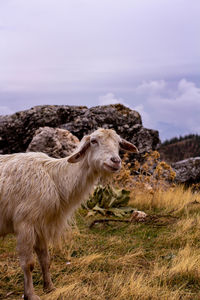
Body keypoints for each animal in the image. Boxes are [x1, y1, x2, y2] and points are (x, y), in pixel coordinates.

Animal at [0, 128, 138, 300]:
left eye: (119, 143)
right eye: (94, 141)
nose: (115, 161)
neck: (54, 178)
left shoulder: (41, 225)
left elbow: (45, 259)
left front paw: (50, 287)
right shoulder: (25, 224)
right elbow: (28, 264)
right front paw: (30, 295)